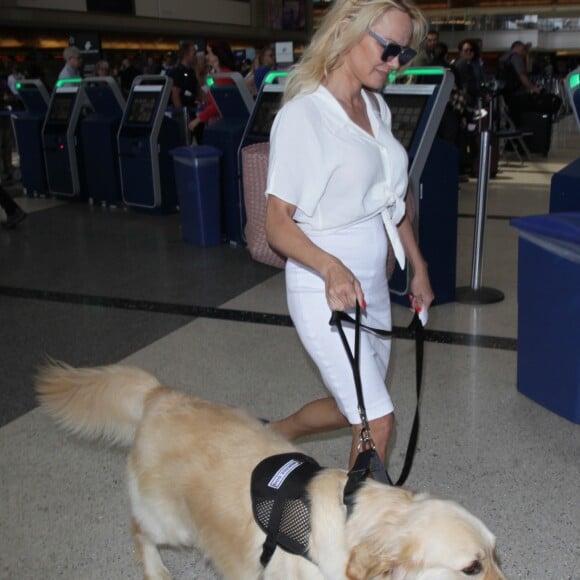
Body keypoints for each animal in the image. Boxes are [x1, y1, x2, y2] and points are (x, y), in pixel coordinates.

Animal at [37, 360, 508, 576]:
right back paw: (156, 570)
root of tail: (160, 395)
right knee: (139, 532)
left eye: (494, 554)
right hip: (171, 523)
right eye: (471, 567)